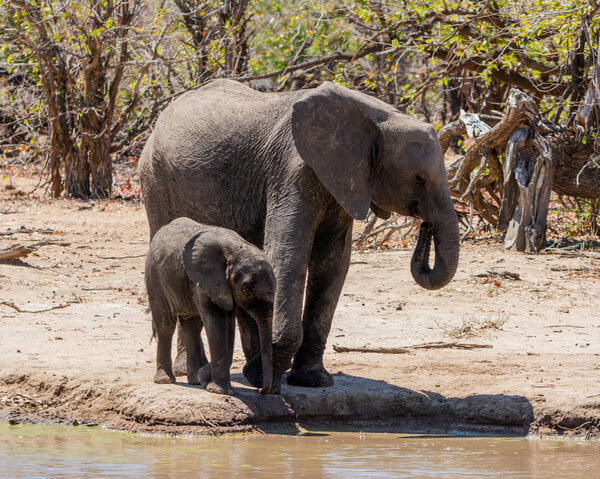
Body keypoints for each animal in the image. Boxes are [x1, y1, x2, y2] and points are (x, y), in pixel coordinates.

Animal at [146, 218, 276, 394]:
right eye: (245, 289)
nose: (261, 390)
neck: (236, 250)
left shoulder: (226, 287)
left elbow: (228, 325)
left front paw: (206, 380)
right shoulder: (206, 280)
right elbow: (216, 322)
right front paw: (219, 391)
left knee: (192, 325)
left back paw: (194, 381)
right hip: (154, 275)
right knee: (166, 324)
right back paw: (165, 380)